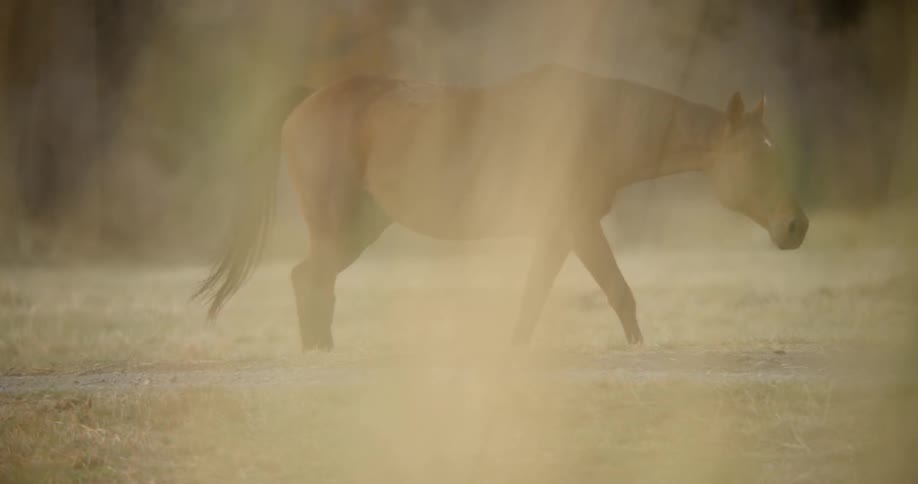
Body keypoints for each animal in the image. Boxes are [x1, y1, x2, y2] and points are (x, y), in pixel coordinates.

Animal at [194, 64, 809, 350]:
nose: (796, 226)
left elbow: (532, 300)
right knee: (310, 281)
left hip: (358, 230)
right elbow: (619, 292)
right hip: (336, 227)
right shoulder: (578, 225)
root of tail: (308, 100)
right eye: (757, 159)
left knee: (311, 280)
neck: (599, 122)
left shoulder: (558, 232)